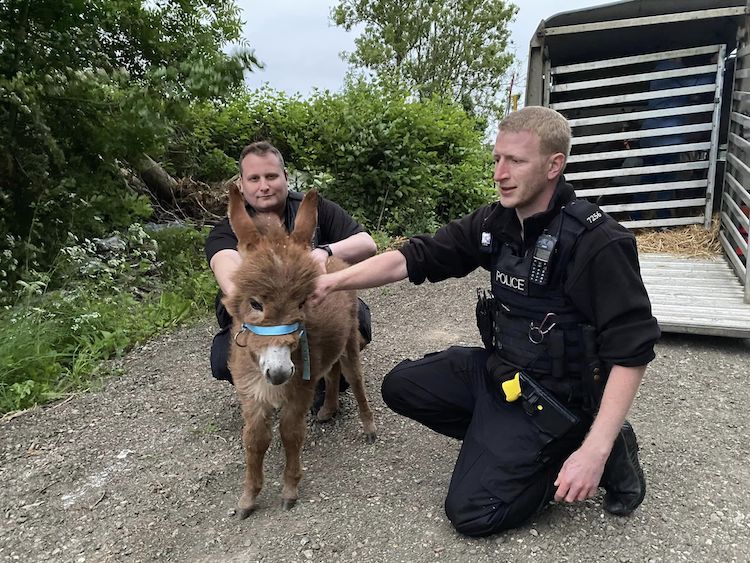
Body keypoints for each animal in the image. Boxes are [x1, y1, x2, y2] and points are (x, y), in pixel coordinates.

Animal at [222, 187, 376, 516]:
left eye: (303, 302)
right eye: (255, 303)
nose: (279, 372)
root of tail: (335, 262)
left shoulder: (299, 388)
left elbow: (290, 433)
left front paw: (290, 490)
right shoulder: (252, 393)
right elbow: (254, 439)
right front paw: (248, 498)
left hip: (349, 339)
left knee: (353, 377)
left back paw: (369, 427)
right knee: (331, 372)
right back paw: (328, 409)